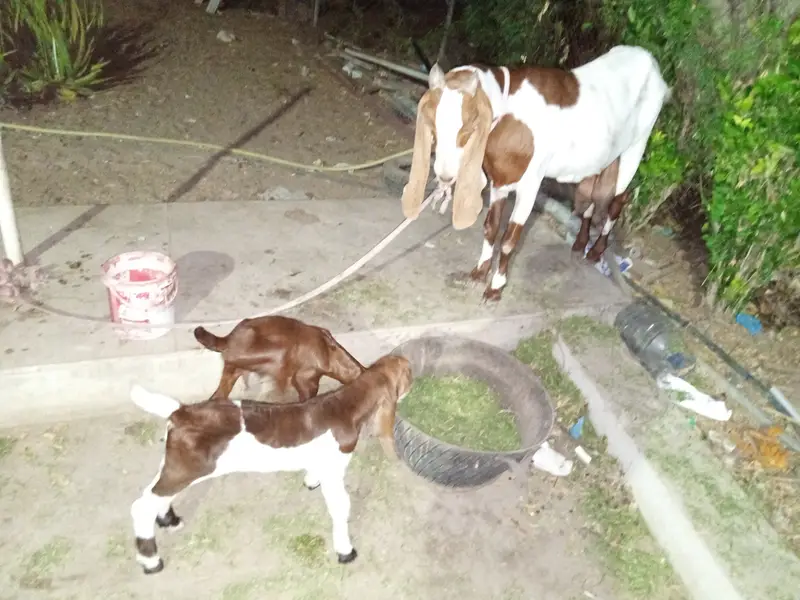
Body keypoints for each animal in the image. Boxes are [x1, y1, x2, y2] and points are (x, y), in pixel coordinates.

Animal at [129, 353, 413, 574]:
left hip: (179, 461)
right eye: (407, 373)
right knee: (142, 505)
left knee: (156, 492)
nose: (413, 380)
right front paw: (346, 551)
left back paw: (168, 519)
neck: (343, 406)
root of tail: (180, 412)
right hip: (190, 466)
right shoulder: (334, 470)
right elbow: (341, 507)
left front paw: (311, 480)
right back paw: (151, 560)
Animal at [401, 46, 670, 302]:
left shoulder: (531, 182)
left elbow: (509, 239)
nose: (445, 175)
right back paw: (580, 243)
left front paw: (496, 287)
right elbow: (491, 228)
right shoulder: (501, 178)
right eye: (432, 124)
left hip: (637, 144)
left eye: (468, 127)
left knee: (618, 200)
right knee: (593, 196)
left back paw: (596, 250)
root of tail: (649, 60)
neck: (508, 111)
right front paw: (479, 272)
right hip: (604, 155)